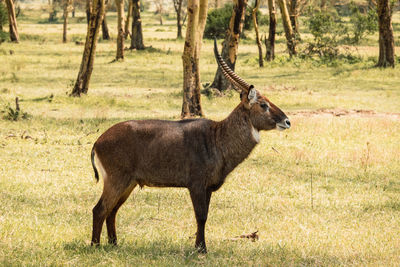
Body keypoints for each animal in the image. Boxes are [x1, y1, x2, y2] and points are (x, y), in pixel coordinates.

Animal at [90, 39, 290, 253]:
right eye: (263, 104)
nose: (287, 121)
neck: (217, 137)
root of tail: (98, 141)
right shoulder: (196, 185)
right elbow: (200, 216)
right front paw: (201, 249)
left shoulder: (208, 188)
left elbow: (205, 216)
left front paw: (199, 246)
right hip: (116, 180)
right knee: (99, 209)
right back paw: (95, 245)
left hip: (129, 183)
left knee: (112, 211)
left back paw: (114, 244)